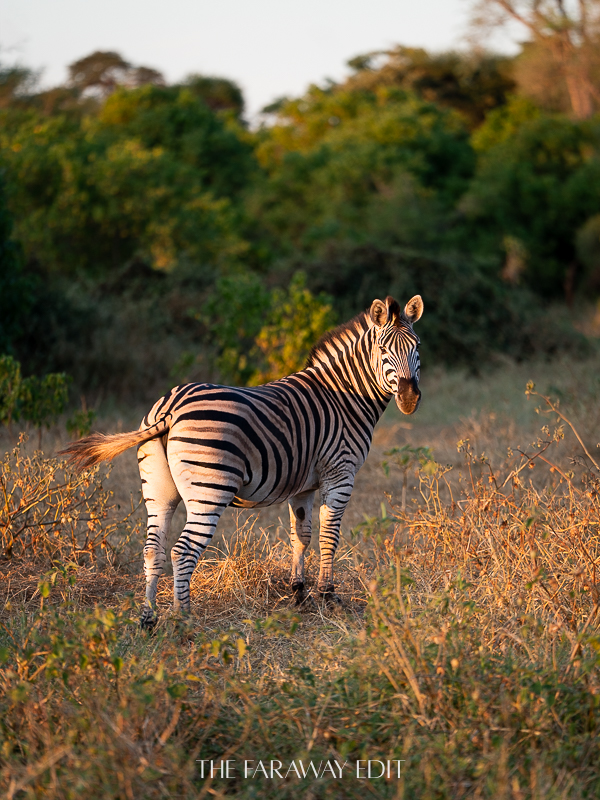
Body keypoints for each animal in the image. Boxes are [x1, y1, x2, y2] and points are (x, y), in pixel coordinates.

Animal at [60, 294, 423, 628]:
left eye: (417, 347)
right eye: (383, 350)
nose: (409, 399)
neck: (345, 397)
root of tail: (171, 409)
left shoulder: (303, 485)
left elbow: (301, 535)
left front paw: (299, 593)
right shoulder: (340, 473)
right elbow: (328, 536)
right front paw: (328, 596)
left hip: (158, 491)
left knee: (153, 548)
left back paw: (148, 618)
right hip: (209, 489)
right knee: (183, 550)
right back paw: (182, 619)